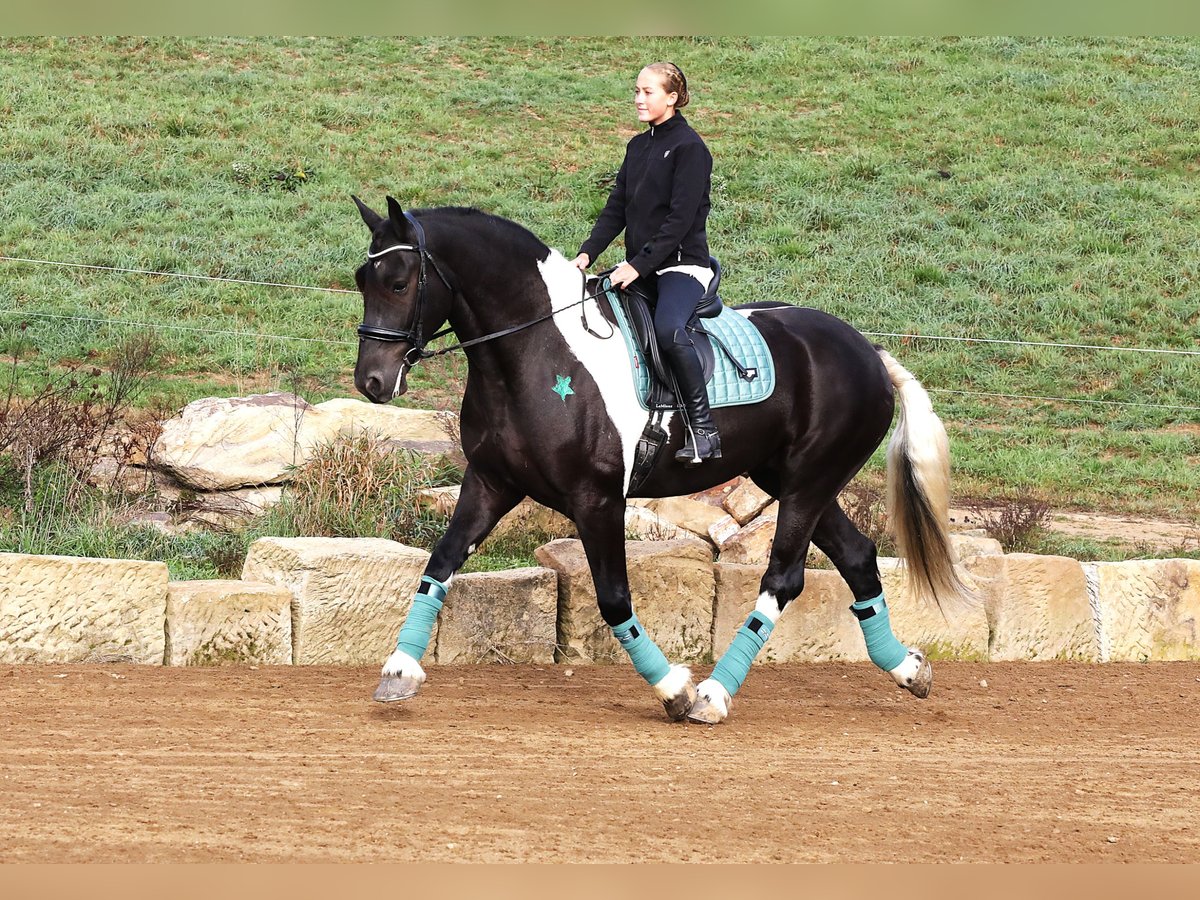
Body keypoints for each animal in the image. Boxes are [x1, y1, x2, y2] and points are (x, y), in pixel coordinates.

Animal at [350, 195, 969, 724]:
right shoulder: (491, 483)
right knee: (858, 558)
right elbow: (440, 564)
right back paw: (908, 669)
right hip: (793, 481)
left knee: (783, 579)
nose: (372, 382)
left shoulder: (595, 499)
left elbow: (613, 598)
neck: (535, 354)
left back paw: (714, 696)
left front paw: (675, 688)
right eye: (362, 280)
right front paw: (399, 671)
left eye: (400, 282)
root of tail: (869, 350)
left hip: (811, 484)